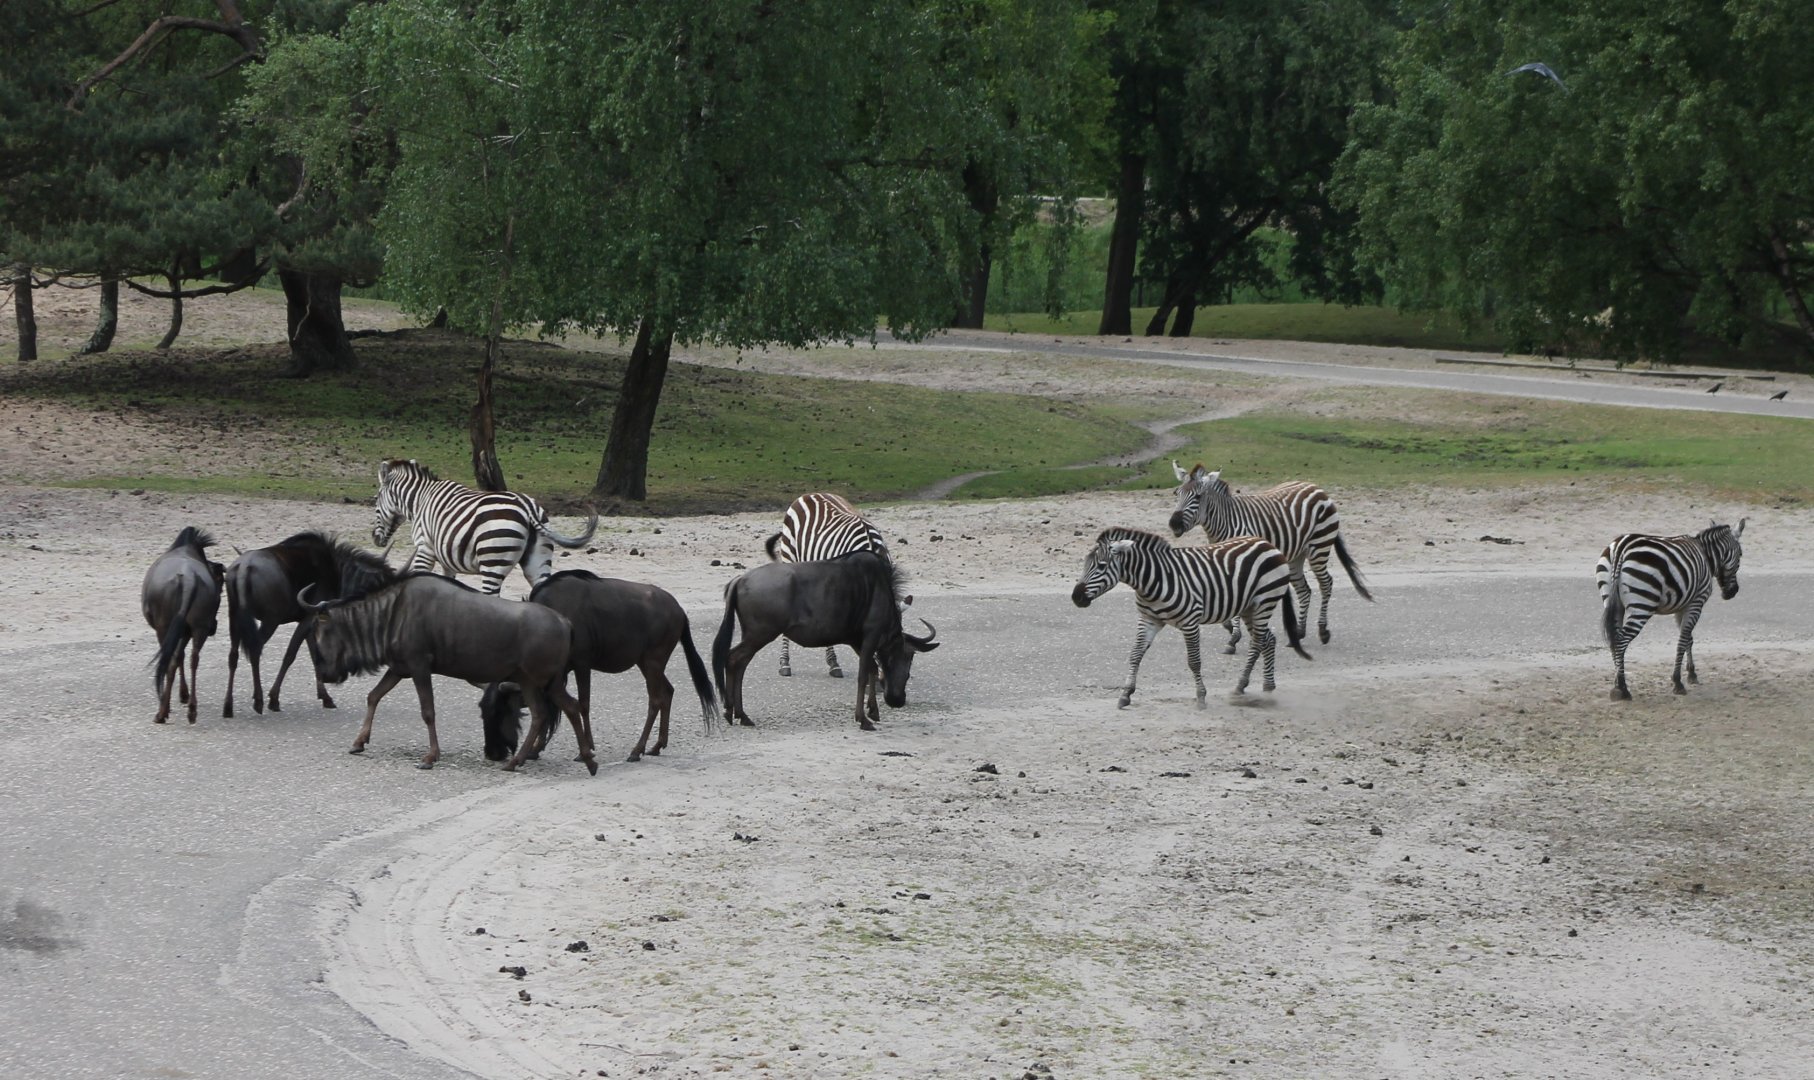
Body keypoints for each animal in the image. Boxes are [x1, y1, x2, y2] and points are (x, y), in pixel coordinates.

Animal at [371, 459, 599, 595]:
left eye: (375, 500)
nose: (374, 537)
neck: (420, 500)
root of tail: (527, 508)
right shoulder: (447, 559)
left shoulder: (424, 549)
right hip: (538, 559)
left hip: (493, 558)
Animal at [1070, 527, 1312, 707]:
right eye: (1085, 564)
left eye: (1101, 566)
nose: (1076, 597)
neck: (1156, 579)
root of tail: (1268, 544)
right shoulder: (1148, 619)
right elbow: (1135, 654)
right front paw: (1126, 693)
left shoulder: (1190, 622)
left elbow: (1194, 661)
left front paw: (1201, 696)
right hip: (1248, 608)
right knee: (1268, 639)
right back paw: (1267, 686)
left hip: (1264, 602)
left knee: (1257, 644)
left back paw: (1239, 685)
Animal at [1169, 461, 1372, 652]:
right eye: (1176, 493)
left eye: (1198, 497)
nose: (1174, 524)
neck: (1223, 524)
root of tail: (1315, 487)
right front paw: (1229, 627)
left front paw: (1233, 638)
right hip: (1296, 555)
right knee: (1304, 590)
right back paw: (1299, 632)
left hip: (1319, 546)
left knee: (1326, 583)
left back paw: (1323, 631)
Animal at [1597, 519, 1745, 700]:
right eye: (1740, 554)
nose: (1733, 592)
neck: (1706, 555)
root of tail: (1621, 547)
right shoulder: (1696, 602)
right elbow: (1683, 640)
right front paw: (1678, 682)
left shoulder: (1682, 606)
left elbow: (1688, 639)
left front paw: (1692, 674)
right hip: (1642, 605)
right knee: (1620, 640)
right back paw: (1623, 688)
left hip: (1612, 601)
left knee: (1613, 639)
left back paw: (1616, 684)